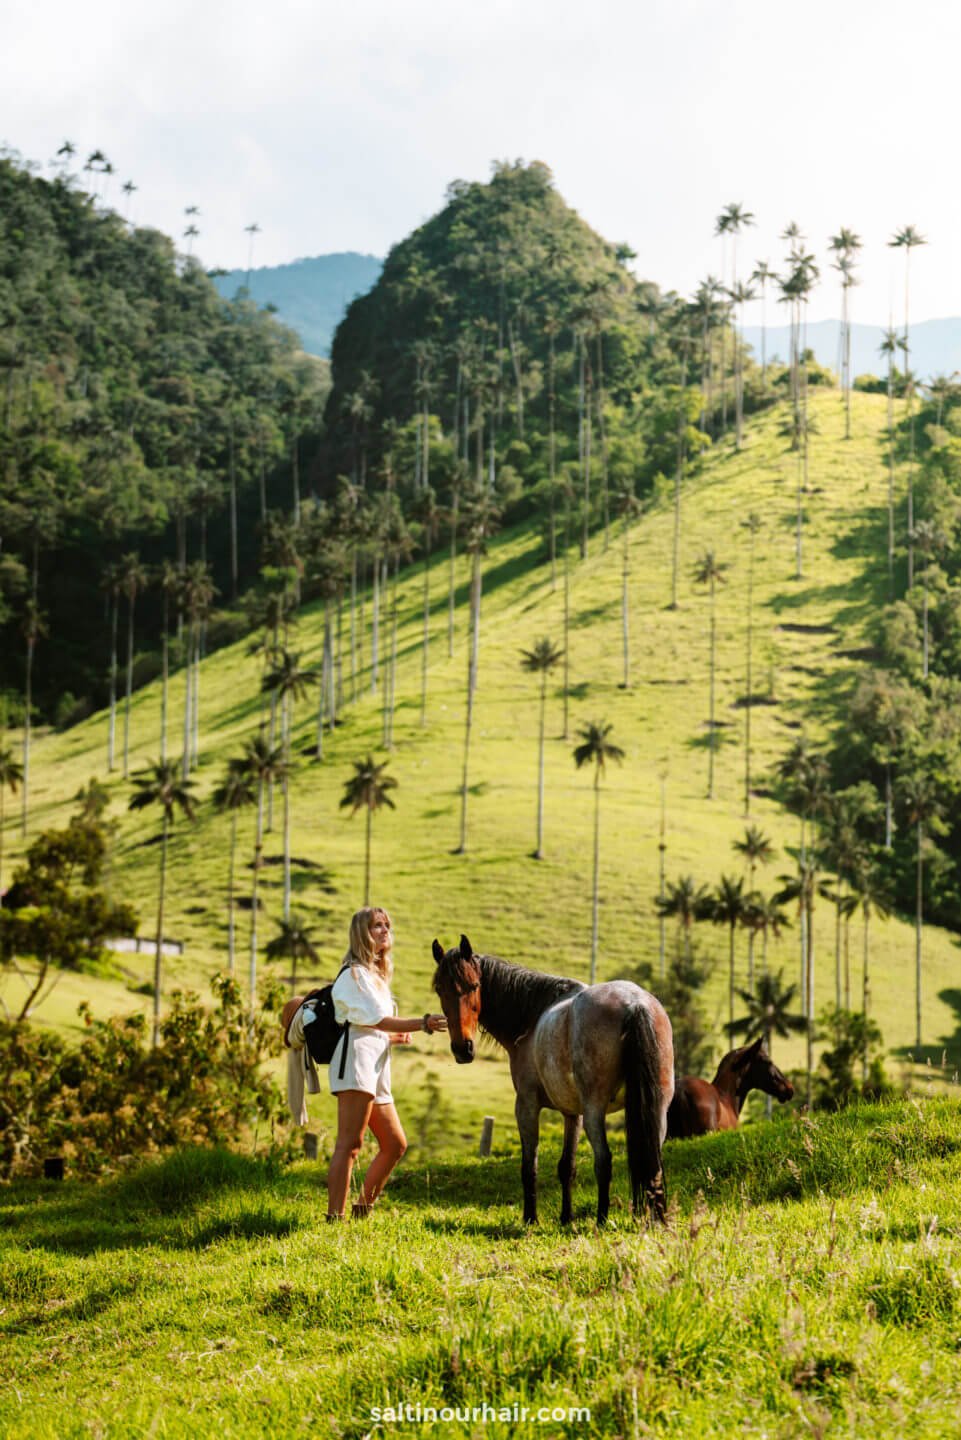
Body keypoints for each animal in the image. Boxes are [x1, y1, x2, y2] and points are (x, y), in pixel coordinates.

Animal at [432, 933, 674, 1226]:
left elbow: (529, 1165)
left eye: (474, 985)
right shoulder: (572, 1114)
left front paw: (530, 1218)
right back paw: (655, 1219)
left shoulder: (526, 1106)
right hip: (655, 1110)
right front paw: (566, 1217)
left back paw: (602, 1219)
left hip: (595, 1111)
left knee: (603, 1161)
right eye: (439, 989)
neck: (532, 1018)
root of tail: (634, 1003)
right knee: (653, 1161)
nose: (462, 1048)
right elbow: (566, 1166)